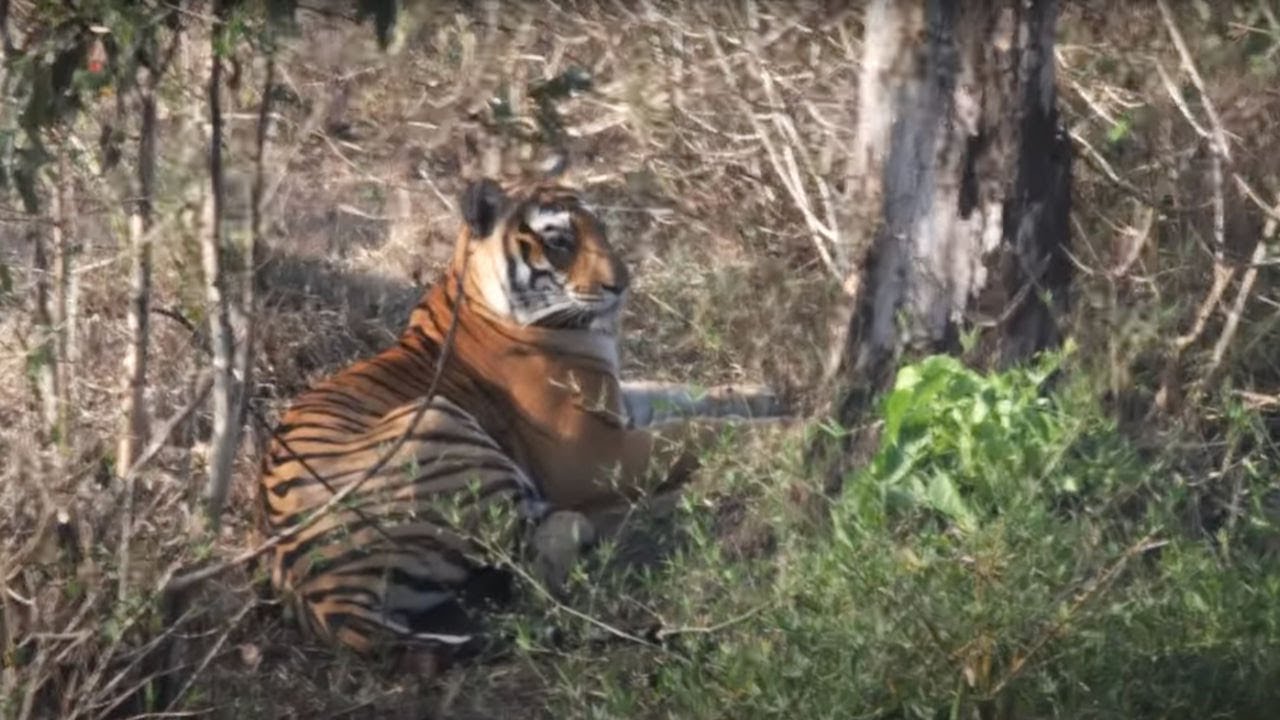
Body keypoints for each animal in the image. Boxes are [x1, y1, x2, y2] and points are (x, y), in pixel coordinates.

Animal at [258, 175, 784, 661]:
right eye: (560, 241)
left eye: (602, 228)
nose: (623, 284)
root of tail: (324, 601)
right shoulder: (590, 453)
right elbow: (691, 432)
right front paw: (780, 433)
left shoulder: (614, 402)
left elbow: (684, 395)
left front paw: (767, 395)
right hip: (437, 423)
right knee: (536, 562)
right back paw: (685, 500)